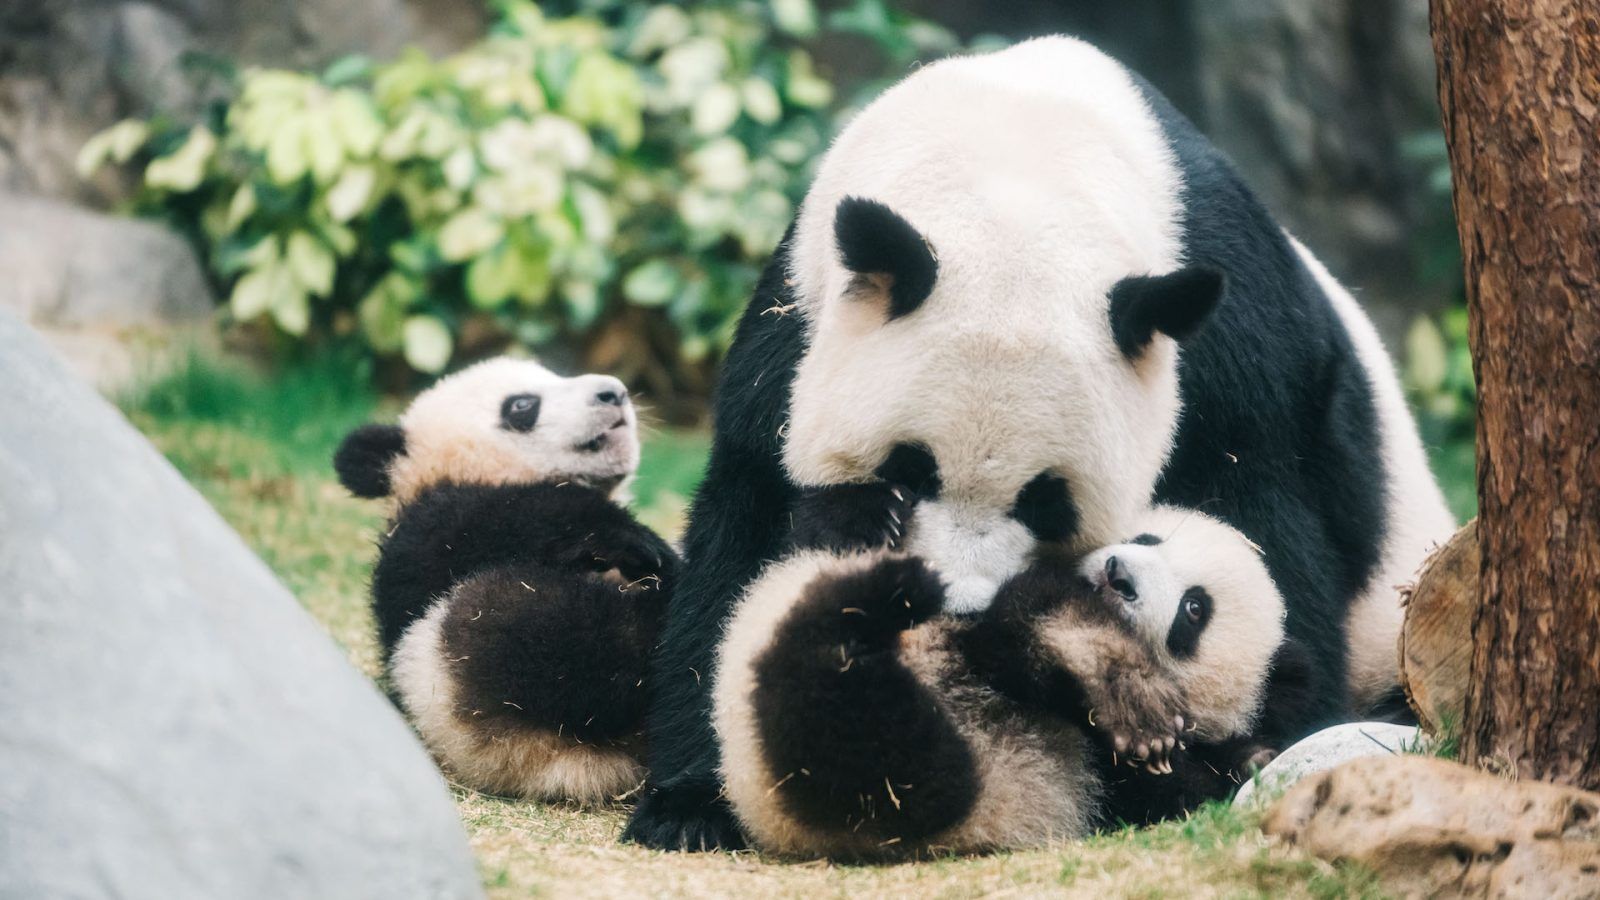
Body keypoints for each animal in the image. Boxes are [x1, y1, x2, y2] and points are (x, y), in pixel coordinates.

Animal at [333, 357, 679, 803]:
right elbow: (506, 522)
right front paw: (633, 538)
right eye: (521, 405)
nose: (613, 393)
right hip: (468, 673)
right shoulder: (430, 533)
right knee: (551, 635)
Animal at [713, 501, 1300, 857]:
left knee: (859, 746)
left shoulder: (1123, 791)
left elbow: (1184, 789)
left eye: (1194, 610)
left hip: (893, 787)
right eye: (1147, 537)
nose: (1118, 575)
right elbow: (1027, 614)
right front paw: (1129, 697)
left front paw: (1248, 758)